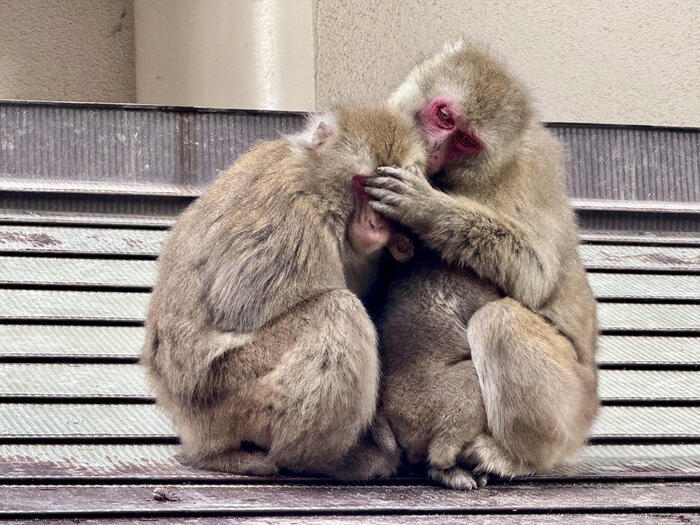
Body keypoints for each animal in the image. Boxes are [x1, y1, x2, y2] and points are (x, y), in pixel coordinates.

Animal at [142, 106, 424, 478]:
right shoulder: (295, 230)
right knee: (338, 310)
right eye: (364, 185)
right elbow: (242, 310)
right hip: (230, 396)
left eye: (384, 197)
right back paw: (322, 462)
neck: (316, 185)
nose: (376, 225)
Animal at [364, 43, 600, 490]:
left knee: (500, 320)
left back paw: (513, 458)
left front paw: (428, 211)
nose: (434, 148)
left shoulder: (530, 170)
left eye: (464, 141)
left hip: (571, 405)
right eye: (444, 116)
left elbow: (535, 278)